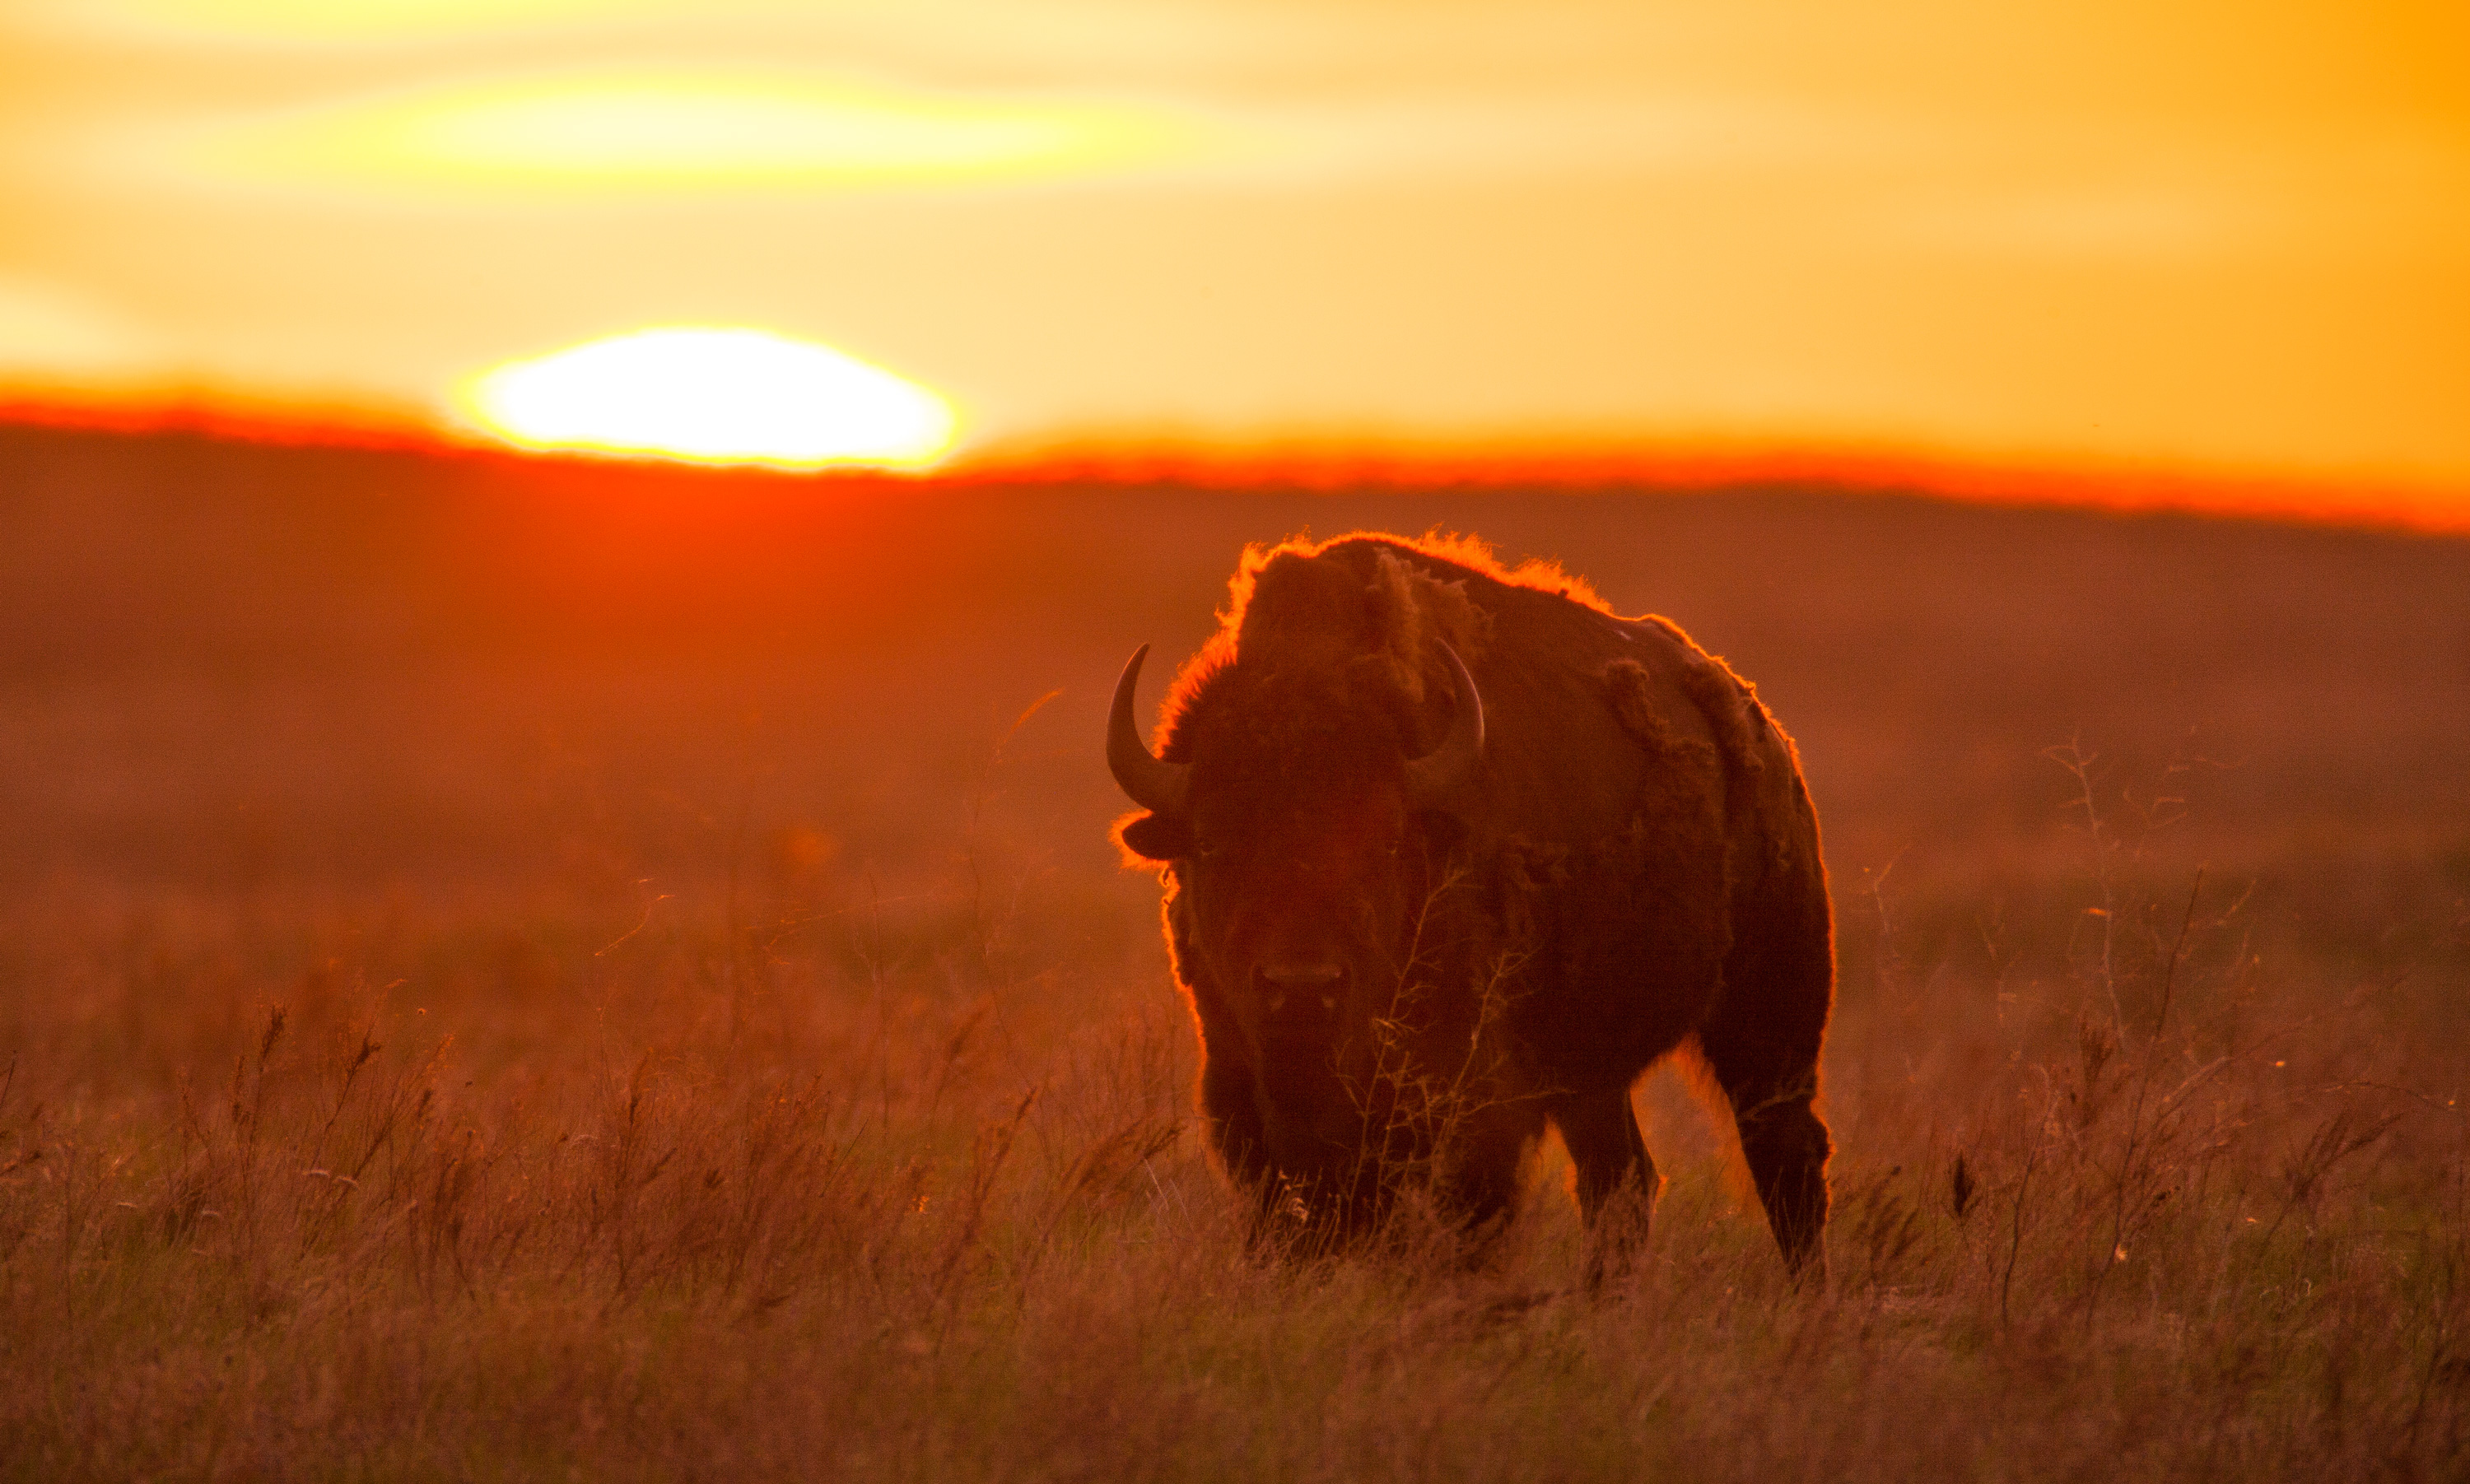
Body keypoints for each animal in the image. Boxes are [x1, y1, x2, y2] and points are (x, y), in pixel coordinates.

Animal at [1107, 533, 1834, 1276]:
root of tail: (1765, 737)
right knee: (1622, 1181)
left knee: (1785, 1159)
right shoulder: (1242, 1095)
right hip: (1591, 1074)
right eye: (1211, 841)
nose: (1303, 987)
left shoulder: (1474, 1109)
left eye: (1389, 841)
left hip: (1769, 1025)